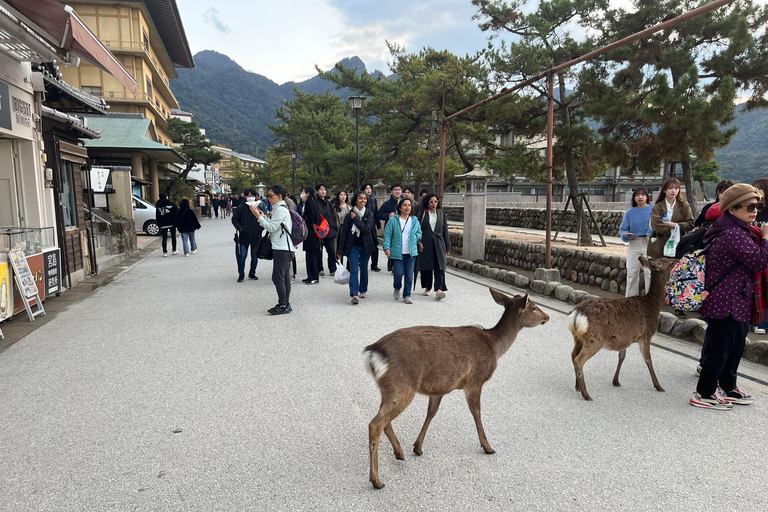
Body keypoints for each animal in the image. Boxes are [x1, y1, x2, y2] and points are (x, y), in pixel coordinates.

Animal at [364, 288, 548, 488]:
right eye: (534, 307)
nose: (547, 317)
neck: (495, 346)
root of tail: (374, 352)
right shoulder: (475, 380)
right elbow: (476, 412)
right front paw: (488, 446)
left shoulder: (440, 387)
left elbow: (431, 413)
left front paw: (418, 447)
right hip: (402, 385)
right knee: (375, 424)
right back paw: (376, 480)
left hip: (389, 388)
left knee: (385, 420)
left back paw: (399, 452)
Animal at [564, 256, 680, 400]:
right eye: (670, 262)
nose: (678, 260)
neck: (653, 306)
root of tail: (576, 314)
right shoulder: (646, 334)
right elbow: (648, 359)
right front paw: (658, 386)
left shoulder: (625, 337)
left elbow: (622, 356)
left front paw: (616, 381)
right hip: (595, 339)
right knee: (579, 360)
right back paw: (586, 394)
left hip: (578, 338)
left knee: (573, 354)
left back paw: (577, 387)